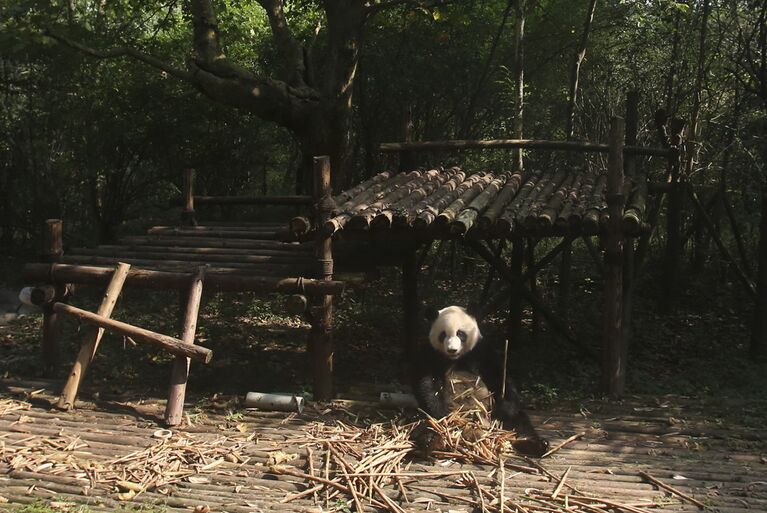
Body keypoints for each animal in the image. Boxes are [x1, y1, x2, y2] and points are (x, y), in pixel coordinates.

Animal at [412, 304, 548, 456]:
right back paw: (432, 440)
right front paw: (443, 413)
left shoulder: (481, 352)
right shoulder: (431, 353)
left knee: (520, 421)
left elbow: (500, 378)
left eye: (460, 334)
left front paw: (500, 413)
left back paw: (535, 445)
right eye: (443, 335)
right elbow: (426, 384)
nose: (452, 350)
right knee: (424, 423)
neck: (456, 358)